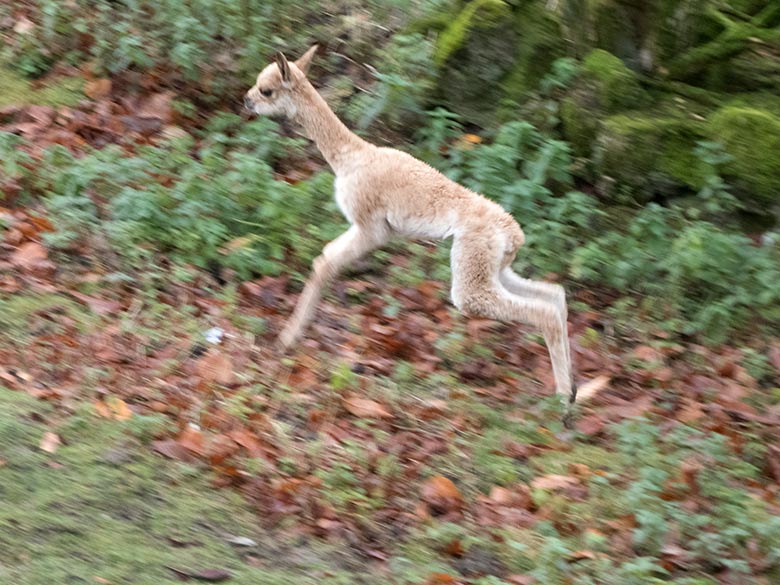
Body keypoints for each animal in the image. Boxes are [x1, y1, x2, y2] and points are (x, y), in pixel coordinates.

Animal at [247, 44, 576, 420]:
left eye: (267, 90)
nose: (246, 100)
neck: (350, 157)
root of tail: (514, 233)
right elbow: (324, 261)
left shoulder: (371, 227)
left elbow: (324, 263)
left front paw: (287, 340)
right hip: (494, 266)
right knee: (554, 297)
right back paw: (572, 392)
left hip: (472, 272)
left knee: (539, 311)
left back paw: (562, 405)